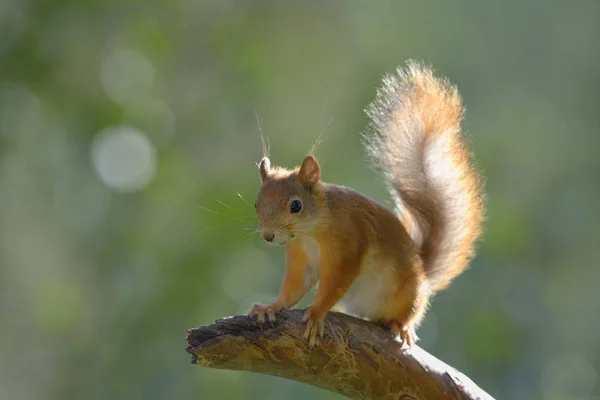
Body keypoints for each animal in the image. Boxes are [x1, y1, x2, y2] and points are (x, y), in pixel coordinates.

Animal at [246, 60, 486, 346]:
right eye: (256, 205)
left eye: (296, 206)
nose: (268, 236)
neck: (311, 233)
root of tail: (424, 273)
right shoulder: (300, 257)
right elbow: (294, 288)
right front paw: (271, 306)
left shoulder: (349, 244)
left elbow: (335, 284)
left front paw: (316, 314)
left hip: (409, 294)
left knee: (408, 313)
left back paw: (401, 326)